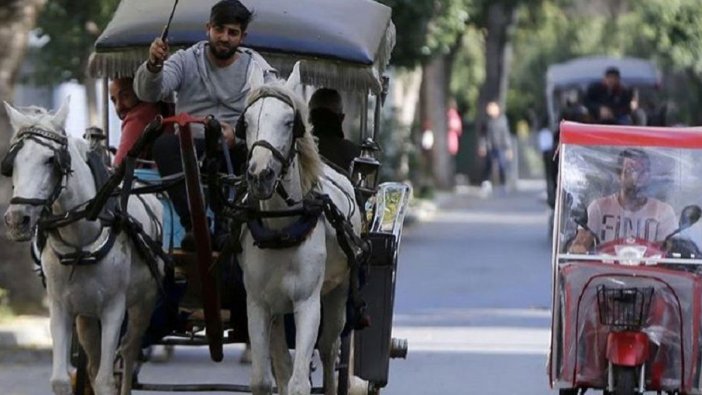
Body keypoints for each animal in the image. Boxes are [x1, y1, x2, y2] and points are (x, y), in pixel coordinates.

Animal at [2, 100, 164, 395]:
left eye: (51, 160)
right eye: (11, 163)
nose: (17, 220)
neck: (80, 241)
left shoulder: (114, 308)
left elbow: (105, 381)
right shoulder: (61, 307)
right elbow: (61, 380)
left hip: (143, 303)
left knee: (129, 351)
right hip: (87, 316)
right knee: (94, 361)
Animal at [241, 65, 366, 395]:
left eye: (289, 122)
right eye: (246, 121)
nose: (260, 175)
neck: (282, 227)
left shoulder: (308, 303)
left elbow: (299, 383)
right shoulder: (257, 303)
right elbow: (263, 380)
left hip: (338, 292)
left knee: (329, 348)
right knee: (283, 364)